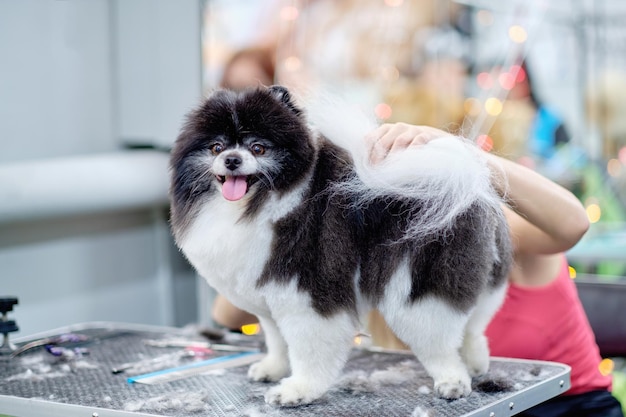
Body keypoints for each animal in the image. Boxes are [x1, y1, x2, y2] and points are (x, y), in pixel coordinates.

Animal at [168, 85, 510, 406]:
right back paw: (474, 361)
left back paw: (453, 380)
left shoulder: (308, 293)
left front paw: (298, 390)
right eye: (216, 147)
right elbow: (278, 340)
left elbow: (309, 349)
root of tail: (461, 177)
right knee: (473, 324)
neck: (260, 204)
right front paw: (273, 369)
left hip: (419, 287)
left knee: (438, 339)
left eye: (258, 148)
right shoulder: (270, 299)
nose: (232, 160)